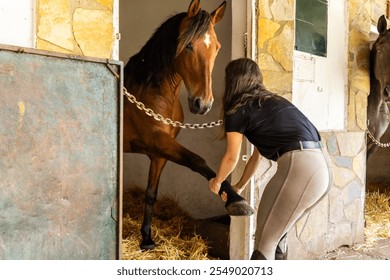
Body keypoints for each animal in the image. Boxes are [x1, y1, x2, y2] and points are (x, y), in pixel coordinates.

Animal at [123, 0, 254, 249]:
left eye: (217, 47)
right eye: (189, 45)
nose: (203, 103)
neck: (153, 92)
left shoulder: (159, 152)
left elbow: (151, 193)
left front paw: (147, 238)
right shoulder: (157, 141)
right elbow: (197, 160)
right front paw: (236, 201)